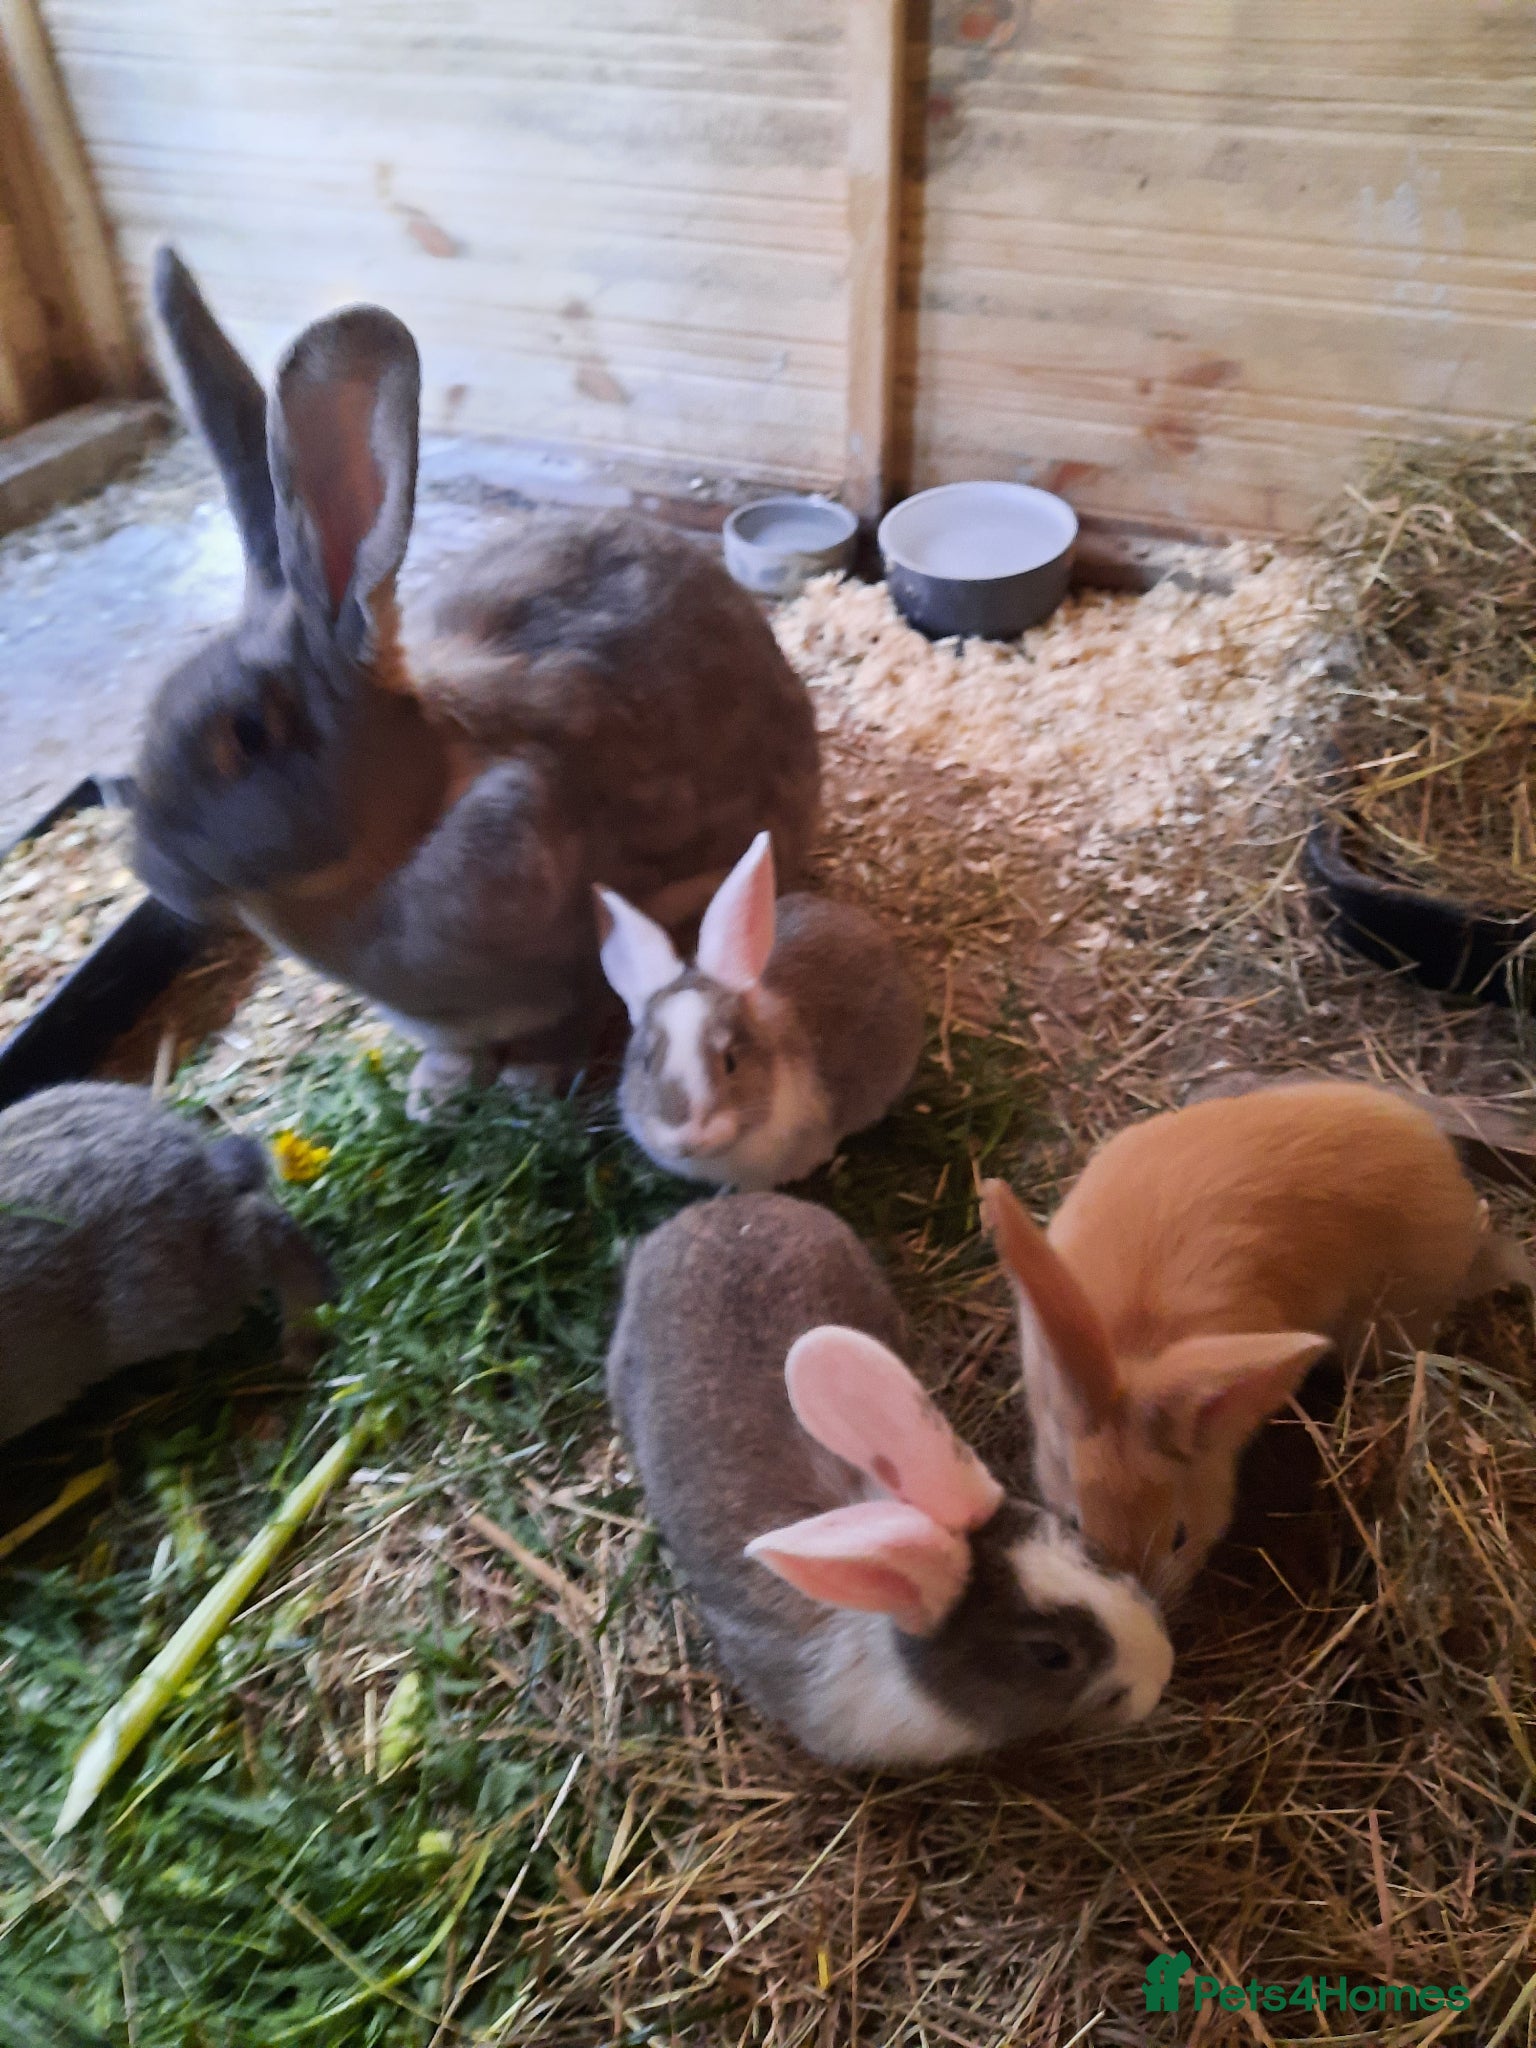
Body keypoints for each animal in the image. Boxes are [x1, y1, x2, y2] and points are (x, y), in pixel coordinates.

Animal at [131, 251, 820, 1118]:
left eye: (250, 733)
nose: (151, 870)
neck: (408, 827)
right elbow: (453, 1049)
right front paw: (435, 1095)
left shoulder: (582, 960)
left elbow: (566, 1026)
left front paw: (530, 1089)